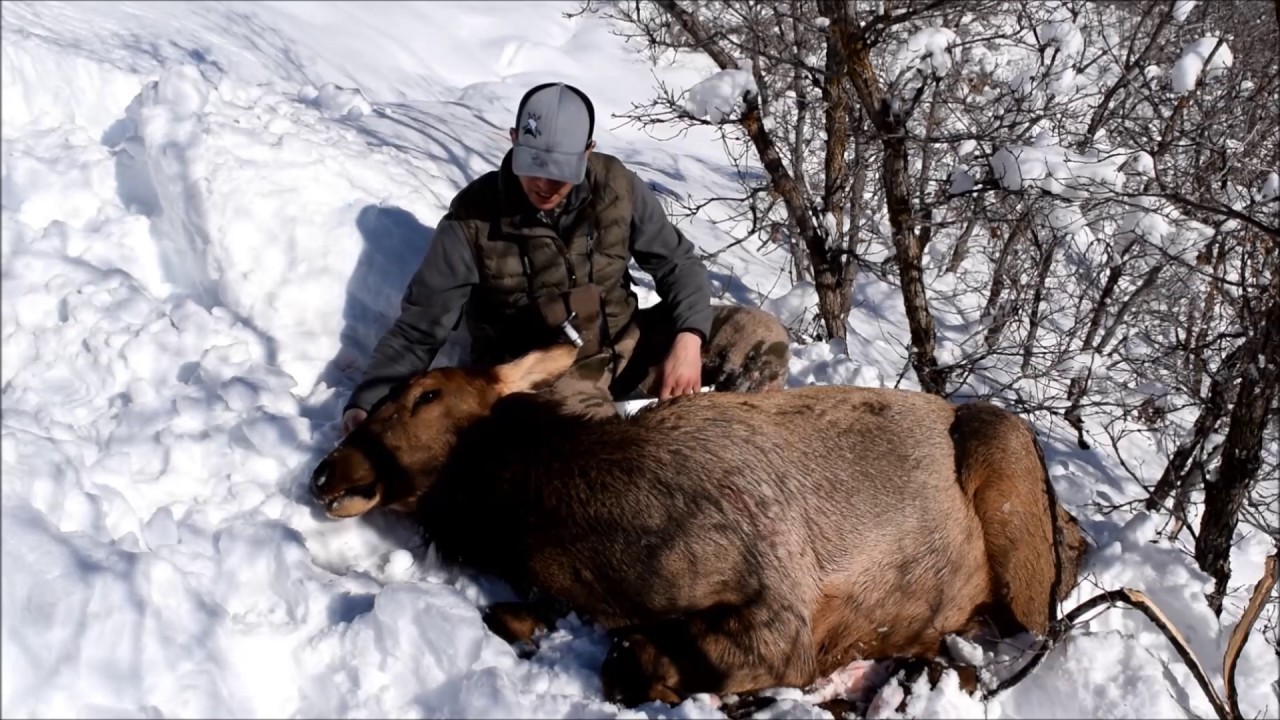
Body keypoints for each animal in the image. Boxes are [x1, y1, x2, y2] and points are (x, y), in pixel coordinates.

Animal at [309, 343, 1089, 710]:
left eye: (426, 394)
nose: (326, 470)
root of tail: (1076, 531)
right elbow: (522, 617)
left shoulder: (777, 611)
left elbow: (634, 663)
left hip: (1011, 497)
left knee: (1039, 627)